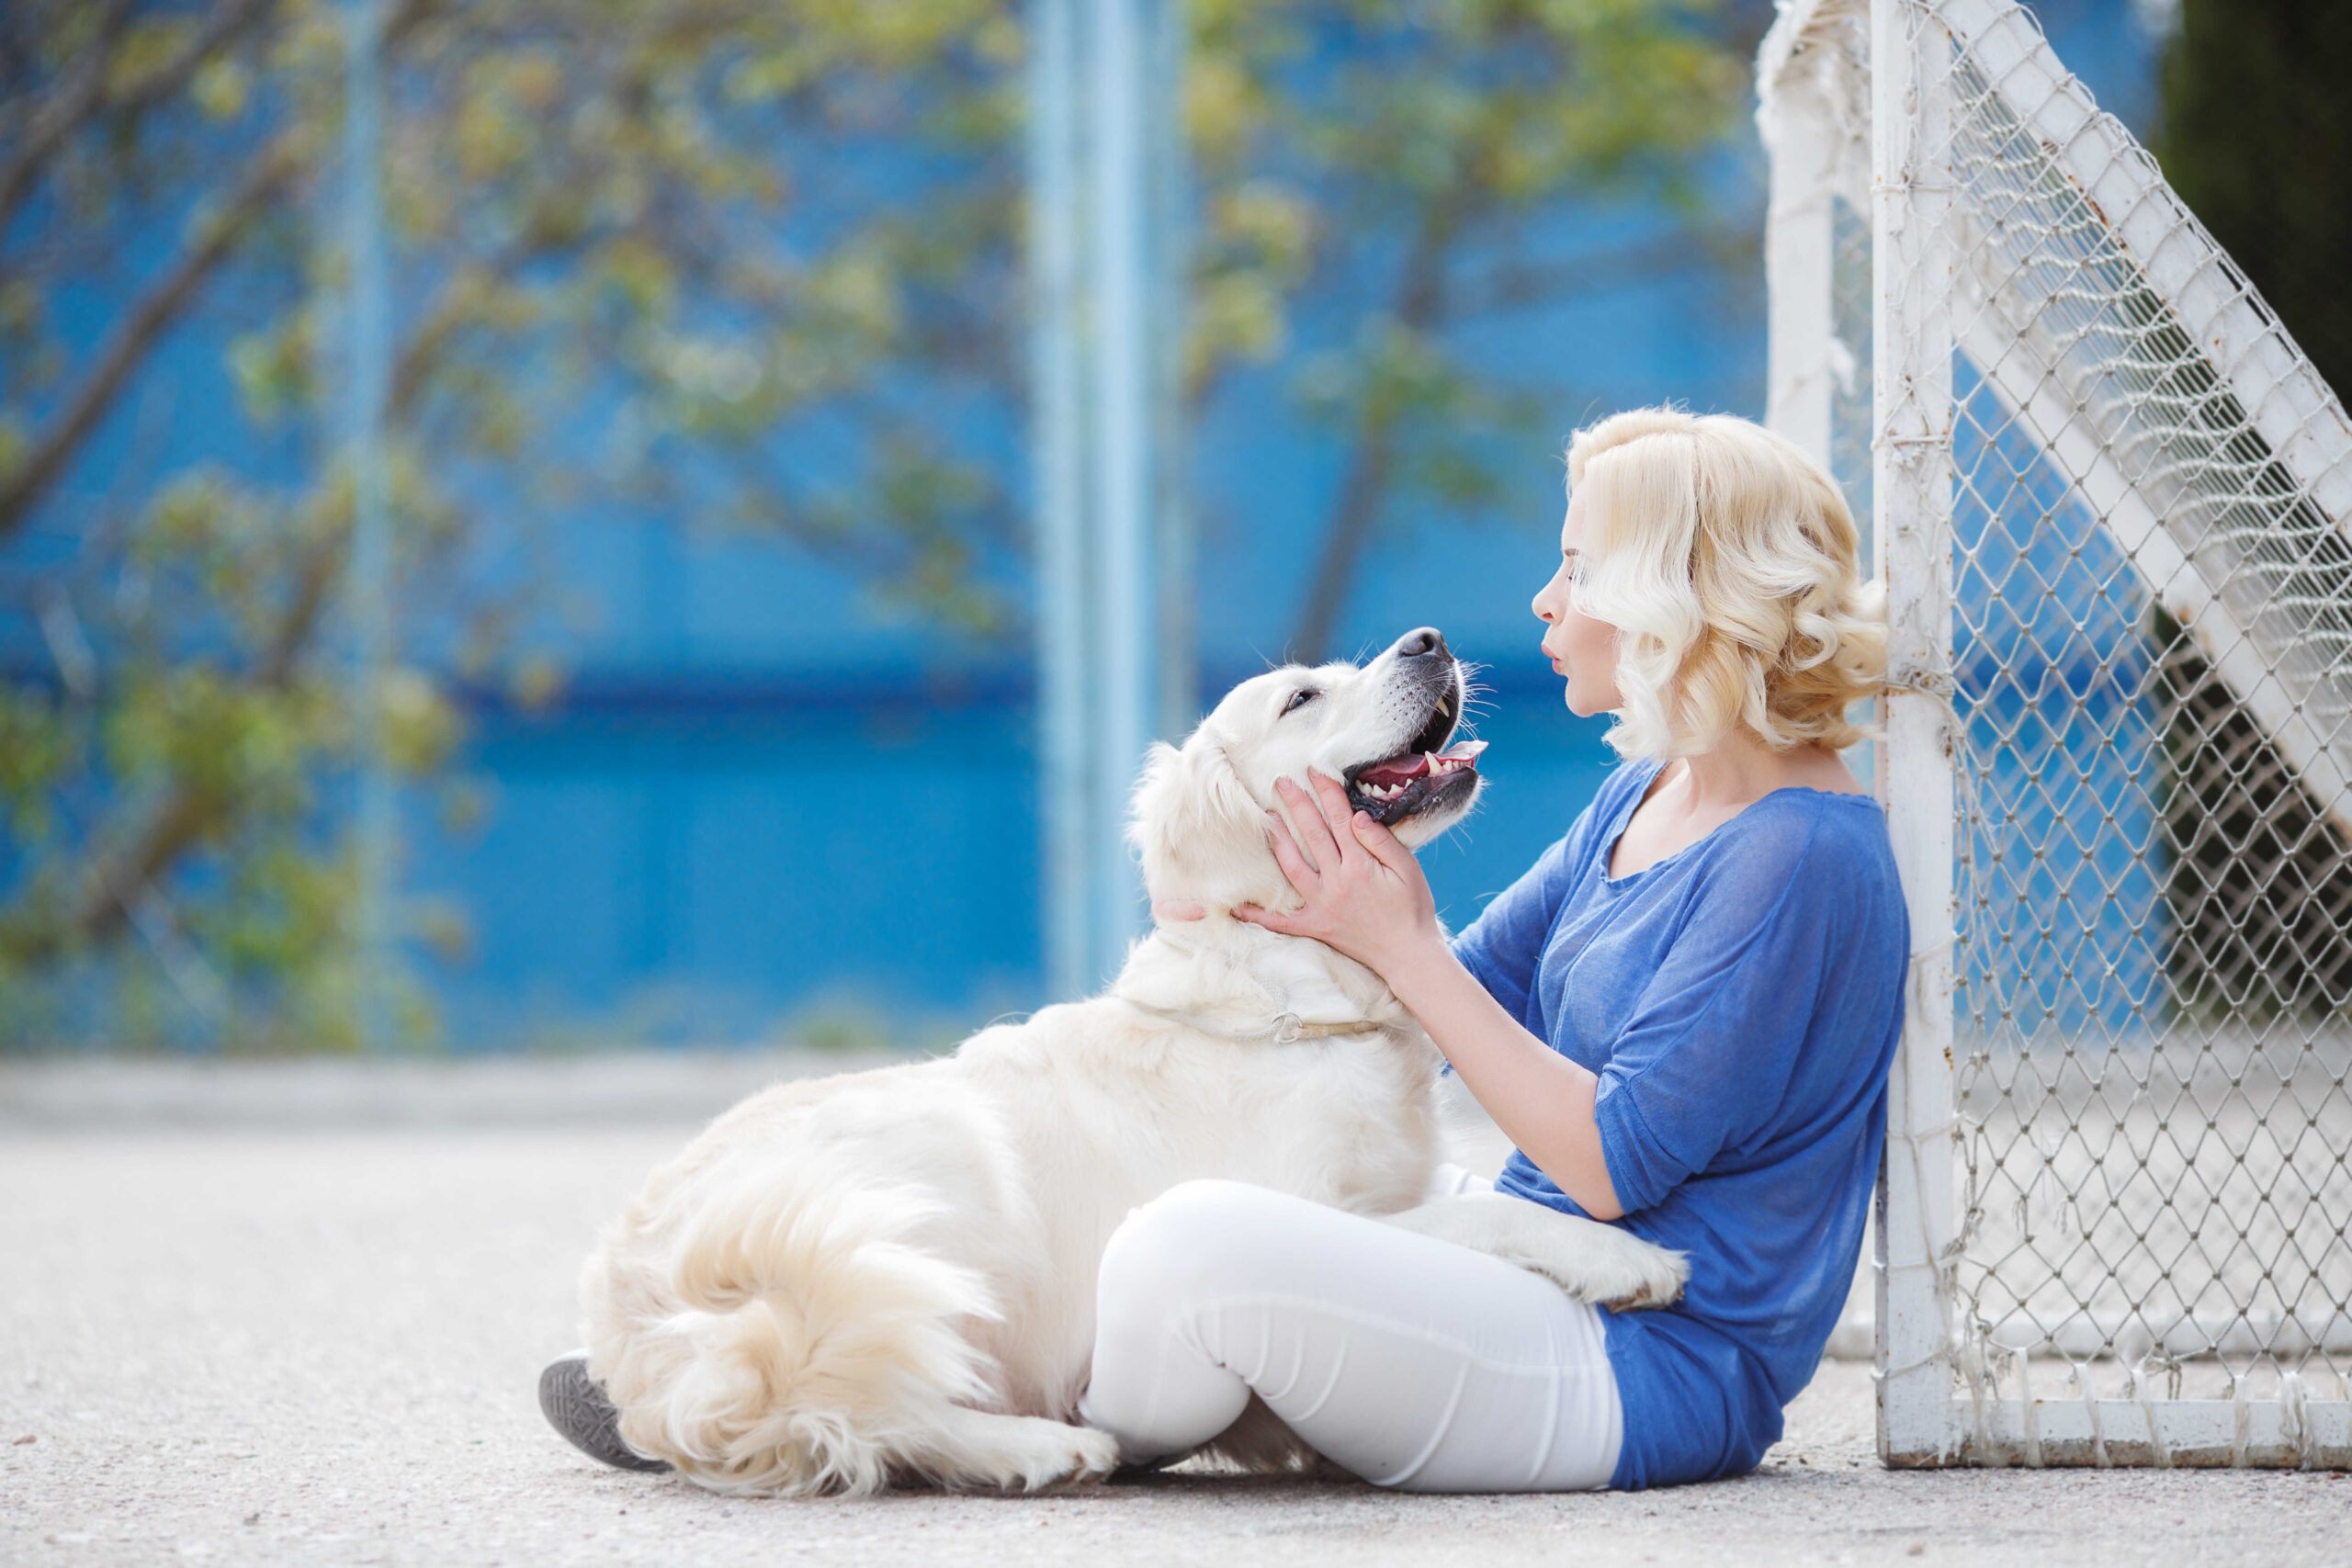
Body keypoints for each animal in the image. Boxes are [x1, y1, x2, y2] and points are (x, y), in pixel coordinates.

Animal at [588, 625, 1693, 1495]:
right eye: (1301, 698)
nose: (1428, 639)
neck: (1290, 993)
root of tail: (636, 1314)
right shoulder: (1314, 1209)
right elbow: (1487, 1213)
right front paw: (1624, 1258)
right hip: (923, 1177)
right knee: (864, 1396)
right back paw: (1032, 1448)